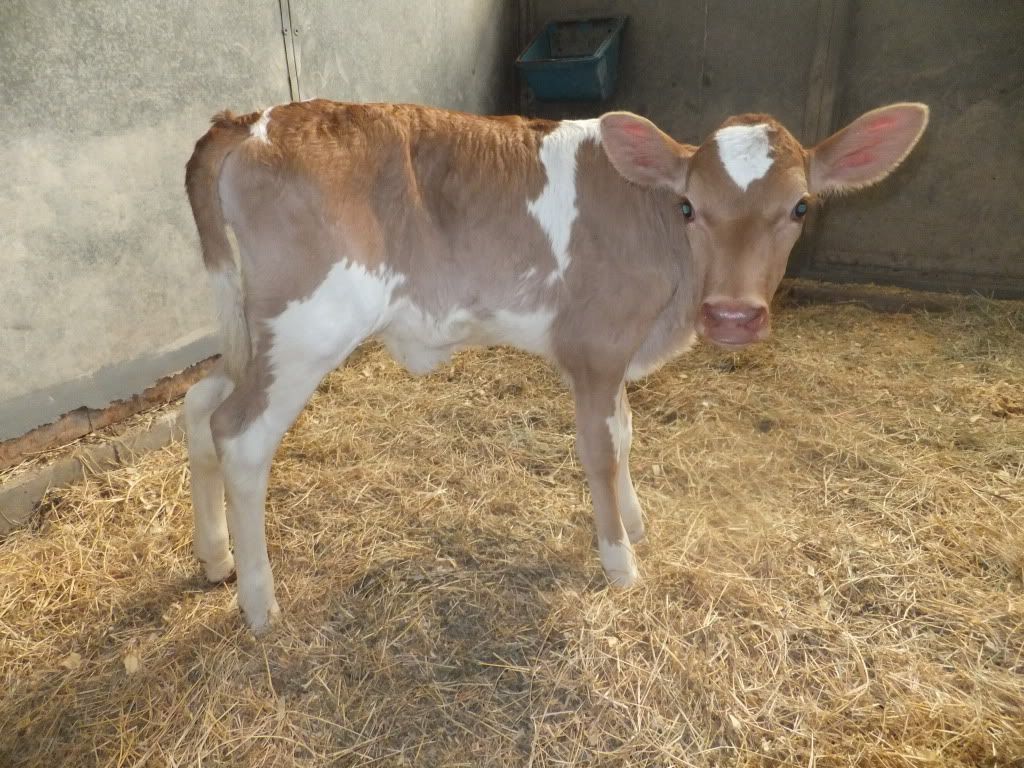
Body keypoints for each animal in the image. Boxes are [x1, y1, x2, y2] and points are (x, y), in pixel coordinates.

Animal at [182, 99, 928, 631]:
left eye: (800, 207)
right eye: (690, 207)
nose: (733, 316)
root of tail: (252, 121)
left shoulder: (619, 355)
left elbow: (626, 435)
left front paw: (635, 523)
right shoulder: (595, 348)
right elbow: (601, 450)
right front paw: (620, 563)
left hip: (258, 333)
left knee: (199, 406)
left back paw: (215, 558)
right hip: (309, 327)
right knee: (241, 437)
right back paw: (259, 603)